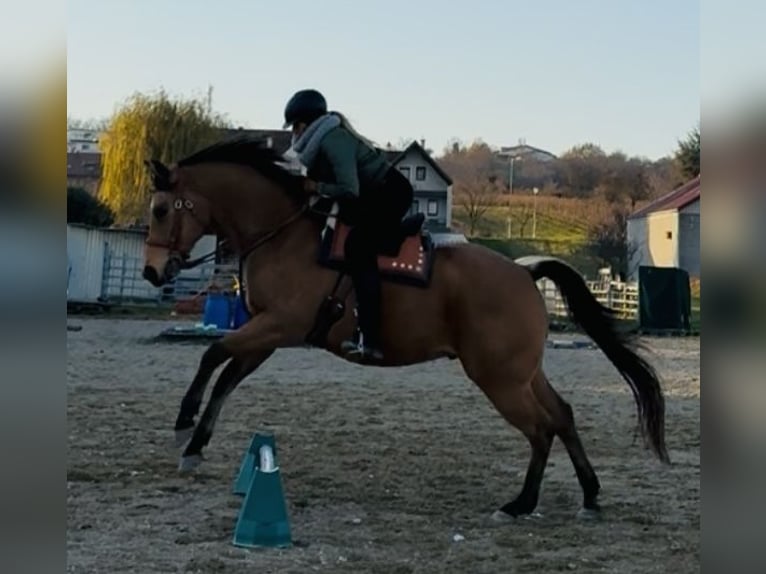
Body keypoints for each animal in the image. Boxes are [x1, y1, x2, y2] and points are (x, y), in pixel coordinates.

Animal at [141, 137, 669, 522]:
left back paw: (521, 504)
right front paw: (194, 446)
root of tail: (525, 272)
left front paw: (183, 425)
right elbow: (226, 377)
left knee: (541, 429)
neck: (282, 234)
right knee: (562, 415)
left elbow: (212, 355)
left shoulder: (277, 326)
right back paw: (589, 495)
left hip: (498, 378)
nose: (152, 272)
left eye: (162, 210)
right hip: (521, 372)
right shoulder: (267, 335)